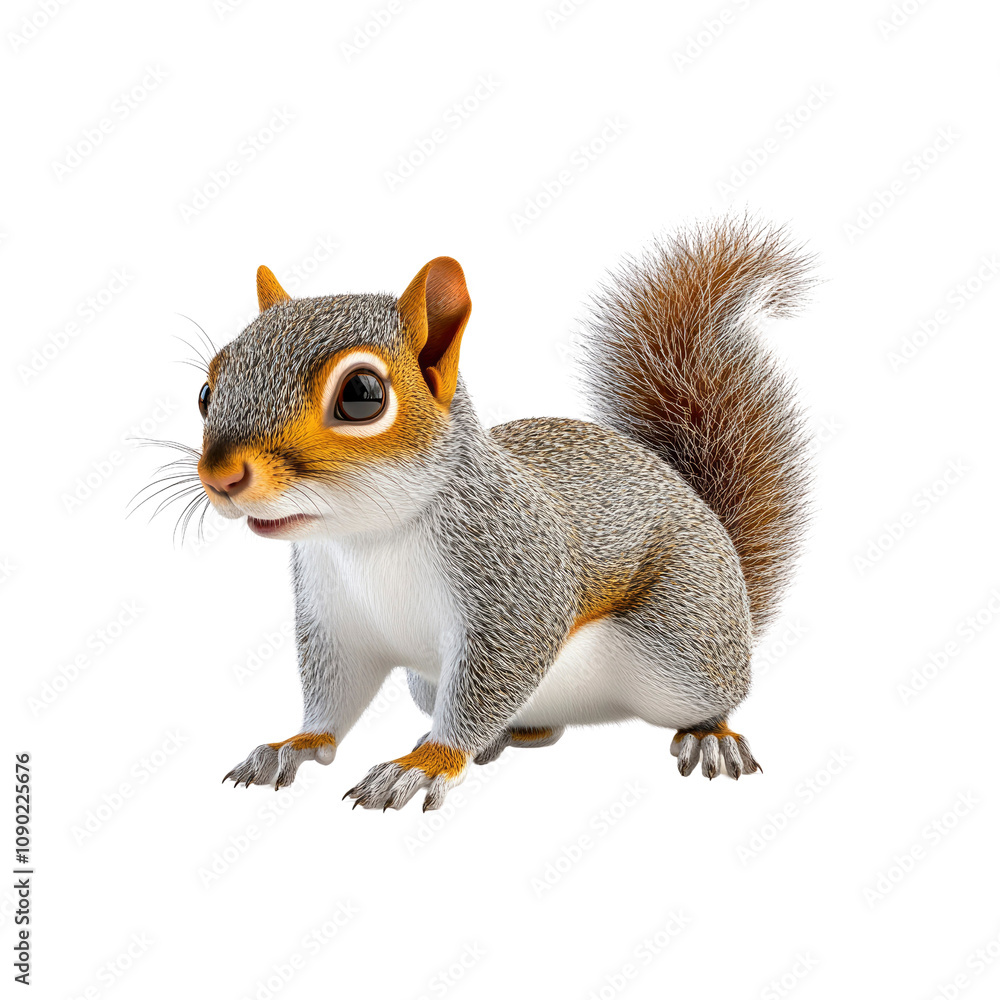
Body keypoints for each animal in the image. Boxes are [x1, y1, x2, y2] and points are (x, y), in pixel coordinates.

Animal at [177, 215, 812, 811]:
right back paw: (508, 736)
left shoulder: (514, 582)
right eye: (207, 392)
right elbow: (334, 692)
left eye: (361, 395)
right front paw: (298, 743)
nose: (220, 477)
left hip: (683, 647)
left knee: (713, 697)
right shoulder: (335, 618)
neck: (371, 536)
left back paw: (711, 736)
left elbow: (495, 672)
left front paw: (426, 763)